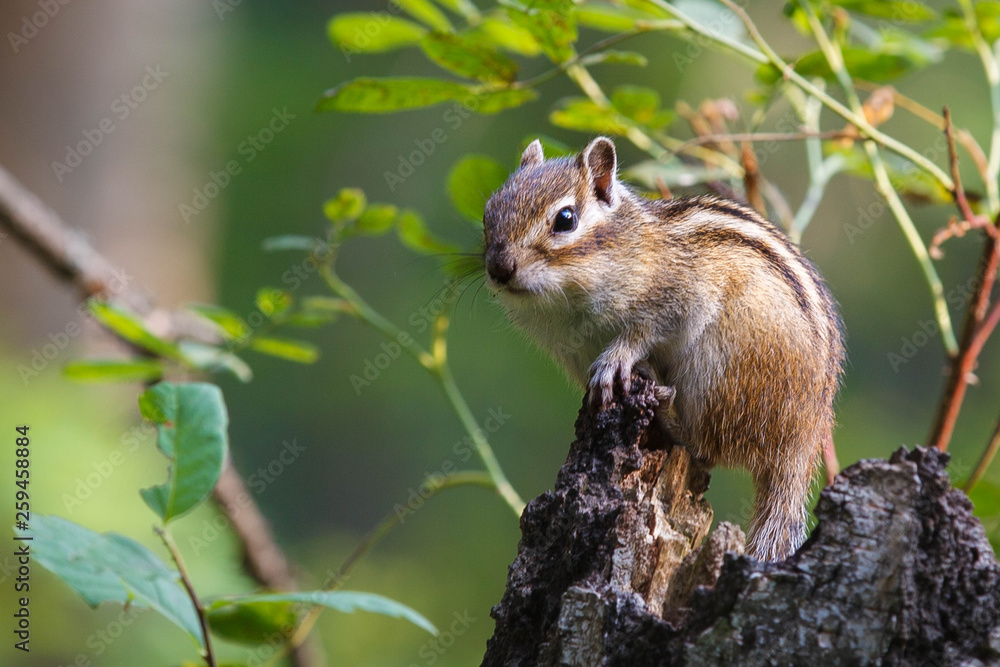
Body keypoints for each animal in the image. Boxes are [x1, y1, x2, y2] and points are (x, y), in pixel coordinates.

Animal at [482, 136, 844, 561]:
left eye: (566, 219)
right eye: (489, 211)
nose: (499, 268)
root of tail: (804, 440)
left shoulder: (682, 295)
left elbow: (644, 331)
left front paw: (616, 360)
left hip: (720, 373)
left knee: (704, 447)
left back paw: (667, 410)